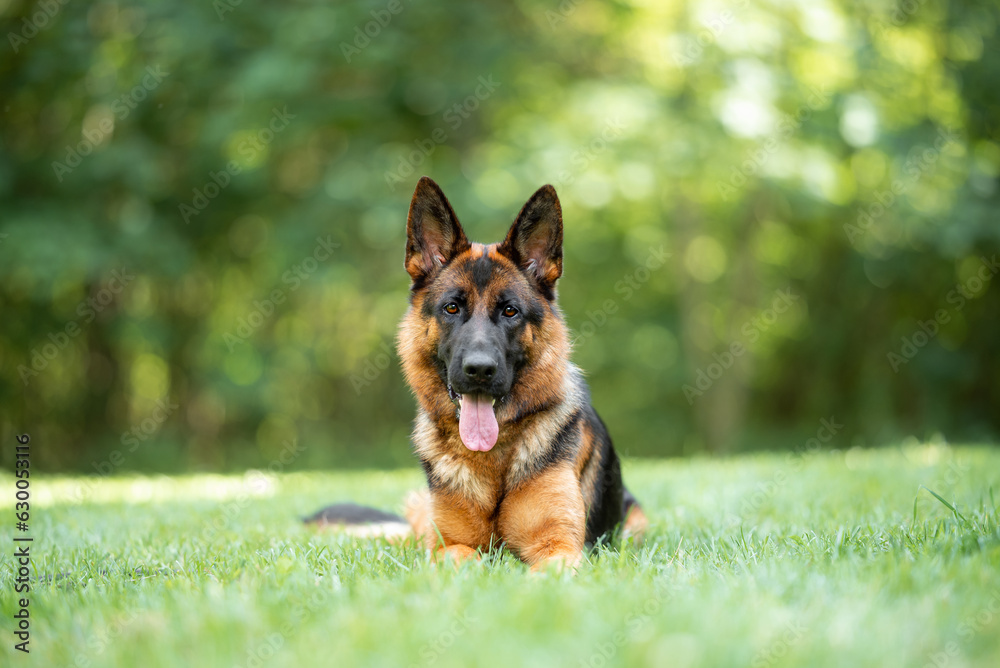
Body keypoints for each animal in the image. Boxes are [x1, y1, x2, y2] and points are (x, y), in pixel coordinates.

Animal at [306, 176, 648, 568]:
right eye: (452, 308)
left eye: (510, 311)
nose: (479, 370)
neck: (493, 462)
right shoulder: (445, 545)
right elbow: (464, 556)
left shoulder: (560, 545)